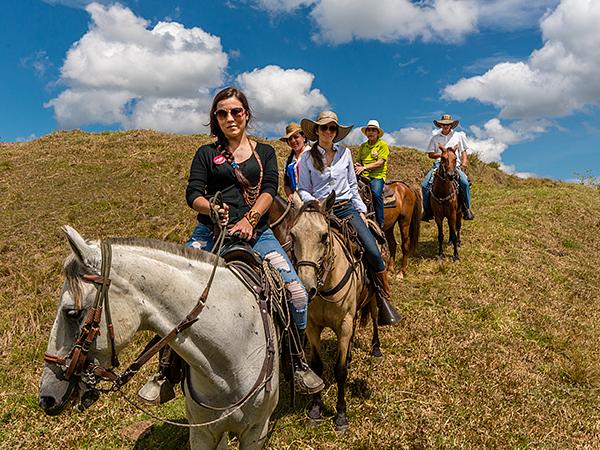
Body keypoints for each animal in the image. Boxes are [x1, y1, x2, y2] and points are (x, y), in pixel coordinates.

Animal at [288, 192, 380, 432]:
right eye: (292, 234)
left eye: (323, 236)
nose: (306, 287)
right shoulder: (312, 327)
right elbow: (317, 366)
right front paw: (315, 410)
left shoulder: (344, 325)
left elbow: (340, 372)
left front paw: (340, 415)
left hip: (373, 298)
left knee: (375, 318)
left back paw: (376, 348)